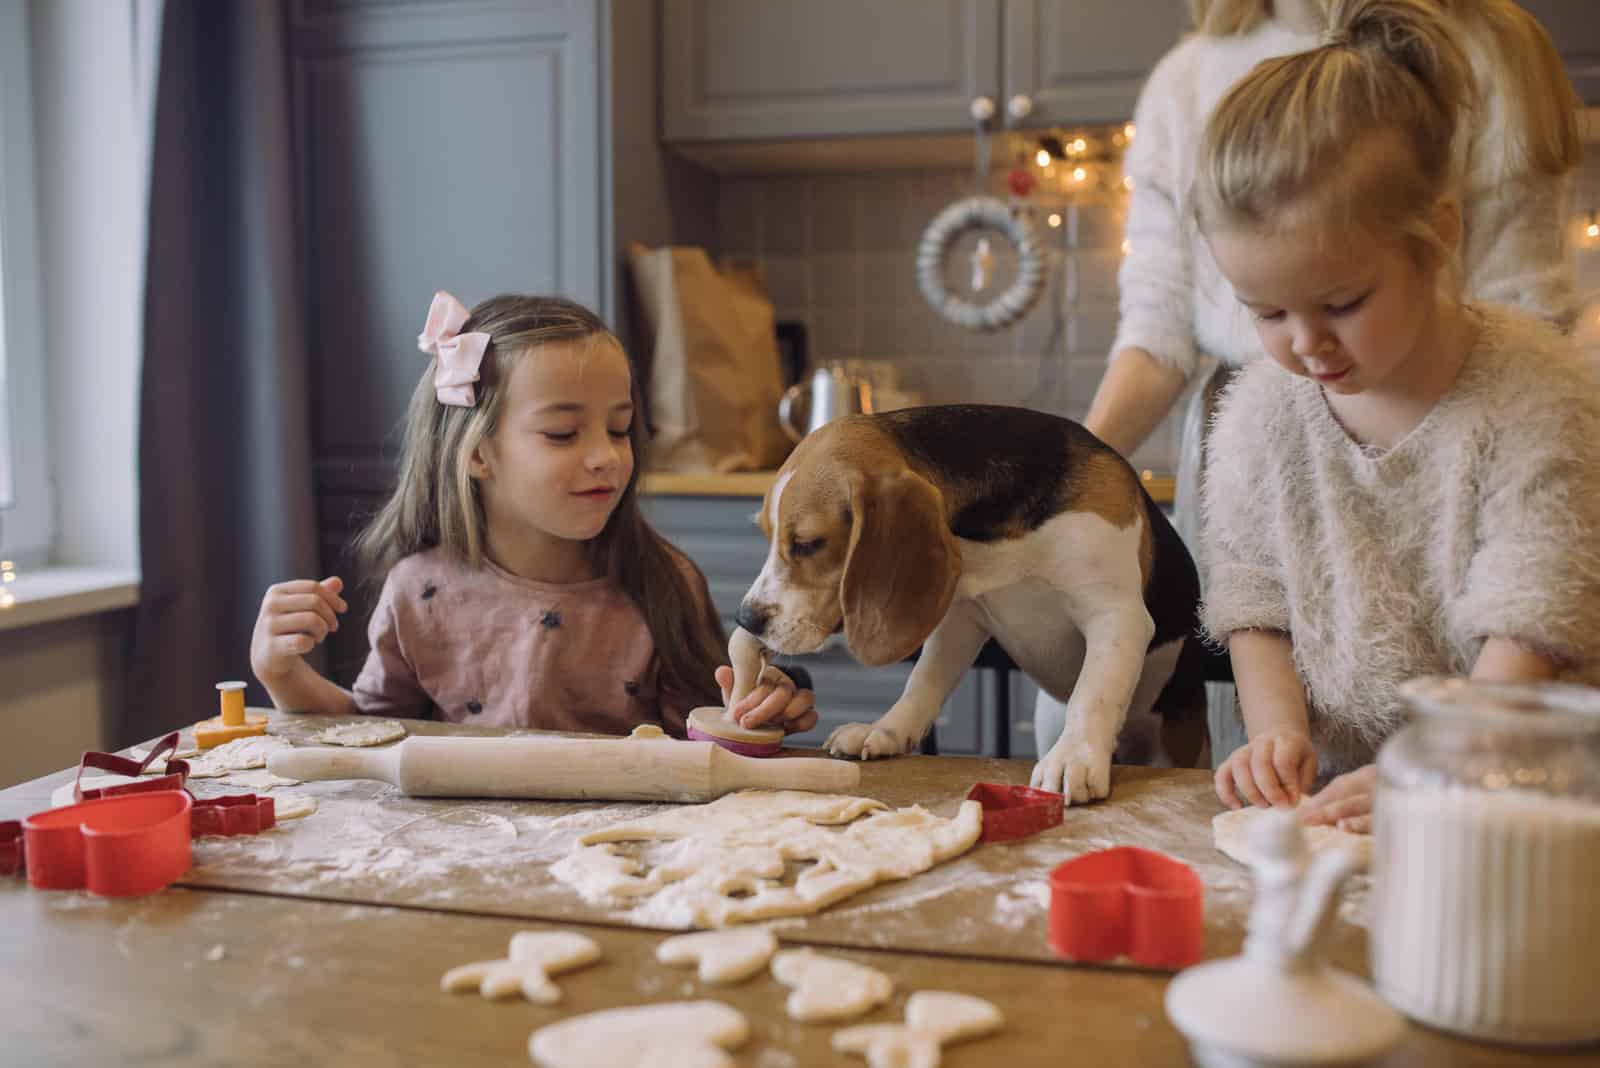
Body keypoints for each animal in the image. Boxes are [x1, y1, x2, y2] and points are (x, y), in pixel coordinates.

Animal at [736, 404, 1203, 805]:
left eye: (808, 543)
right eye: (766, 535)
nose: (746, 618)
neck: (998, 537)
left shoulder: (1116, 615)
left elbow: (1094, 694)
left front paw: (1074, 755)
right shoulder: (960, 620)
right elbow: (923, 682)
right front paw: (886, 731)